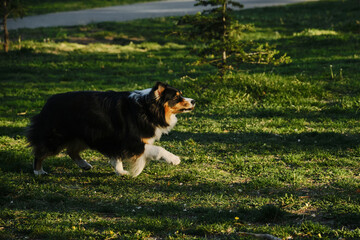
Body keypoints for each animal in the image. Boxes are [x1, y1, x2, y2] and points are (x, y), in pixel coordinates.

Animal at [26, 81, 195, 177]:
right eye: (176, 97)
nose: (193, 101)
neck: (148, 109)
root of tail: (48, 102)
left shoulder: (115, 139)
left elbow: (117, 157)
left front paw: (120, 171)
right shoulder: (131, 142)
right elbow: (158, 149)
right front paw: (175, 159)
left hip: (83, 135)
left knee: (71, 151)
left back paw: (85, 165)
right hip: (57, 136)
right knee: (40, 151)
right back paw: (38, 171)